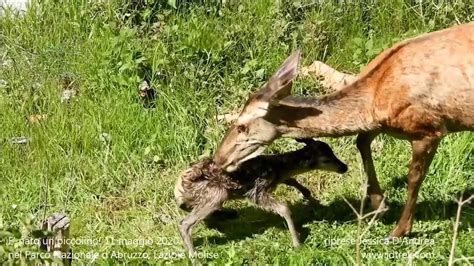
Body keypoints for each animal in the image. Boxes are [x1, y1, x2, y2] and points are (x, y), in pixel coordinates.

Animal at [176, 139, 346, 256]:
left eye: (332, 152)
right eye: (326, 159)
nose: (344, 167)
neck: (277, 167)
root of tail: (178, 188)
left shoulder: (278, 179)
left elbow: (293, 182)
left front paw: (315, 201)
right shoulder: (257, 191)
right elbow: (284, 207)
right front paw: (297, 243)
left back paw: (228, 214)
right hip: (216, 193)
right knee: (184, 223)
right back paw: (194, 255)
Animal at [214, 22, 474, 238]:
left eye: (242, 126)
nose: (218, 159)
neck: (373, 101)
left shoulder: (428, 128)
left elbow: (413, 177)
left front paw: (399, 231)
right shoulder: (379, 125)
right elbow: (361, 141)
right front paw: (378, 204)